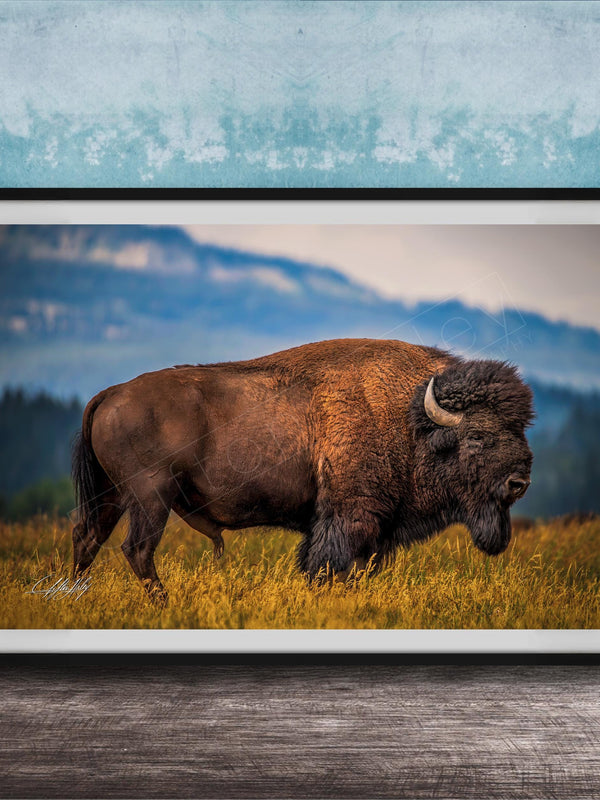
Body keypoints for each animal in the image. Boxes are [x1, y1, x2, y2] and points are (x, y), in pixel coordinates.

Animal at [72, 338, 534, 602]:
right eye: (477, 436)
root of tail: (111, 393)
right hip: (151, 497)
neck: (408, 418)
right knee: (136, 549)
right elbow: (327, 566)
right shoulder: (348, 517)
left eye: (520, 429)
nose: (520, 482)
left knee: (87, 538)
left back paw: (73, 598)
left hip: (114, 496)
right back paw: (163, 603)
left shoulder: (373, 531)